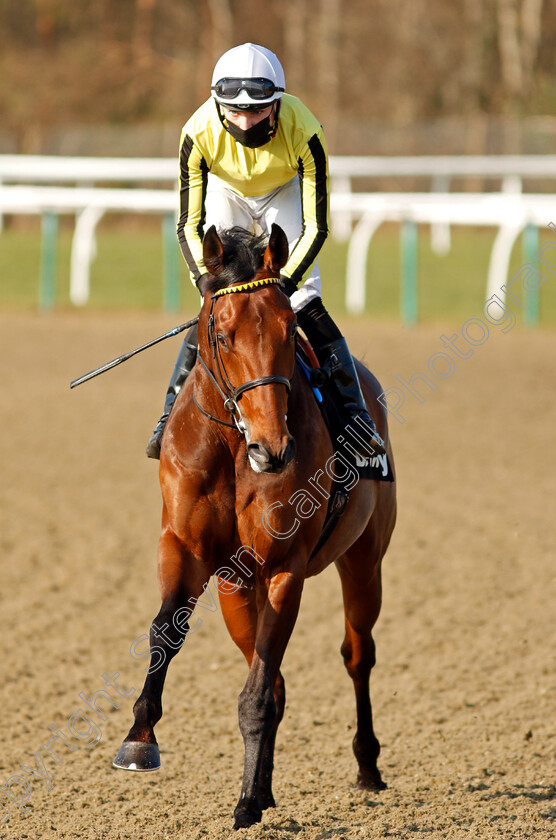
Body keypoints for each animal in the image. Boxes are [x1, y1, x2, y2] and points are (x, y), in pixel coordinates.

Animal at [113, 221, 398, 828]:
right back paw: (266, 787)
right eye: (221, 334)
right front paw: (139, 738)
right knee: (277, 677)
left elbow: (258, 694)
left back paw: (366, 766)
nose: (273, 449)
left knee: (356, 653)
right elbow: (164, 633)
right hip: (235, 590)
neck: (232, 444)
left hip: (364, 561)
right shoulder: (187, 549)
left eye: (290, 330)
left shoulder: (283, 568)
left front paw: (244, 802)